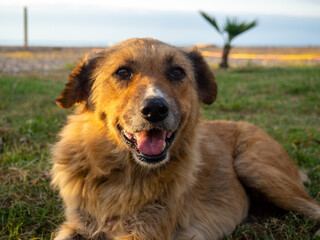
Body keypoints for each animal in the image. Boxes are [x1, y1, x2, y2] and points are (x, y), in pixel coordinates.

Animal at [50, 38, 320, 239]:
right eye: (123, 72)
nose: (155, 109)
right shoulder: (78, 225)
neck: (122, 175)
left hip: (255, 168)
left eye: (177, 72)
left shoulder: (146, 231)